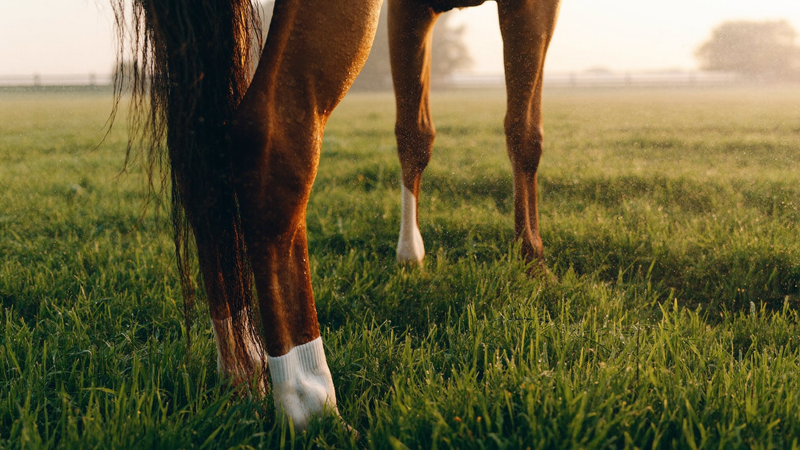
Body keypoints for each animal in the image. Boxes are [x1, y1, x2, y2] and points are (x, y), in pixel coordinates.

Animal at [113, 0, 560, 431]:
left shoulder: (411, 10)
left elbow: (414, 135)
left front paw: (410, 254)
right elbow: (525, 133)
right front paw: (532, 257)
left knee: (199, 161)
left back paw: (243, 368)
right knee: (273, 134)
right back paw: (309, 399)